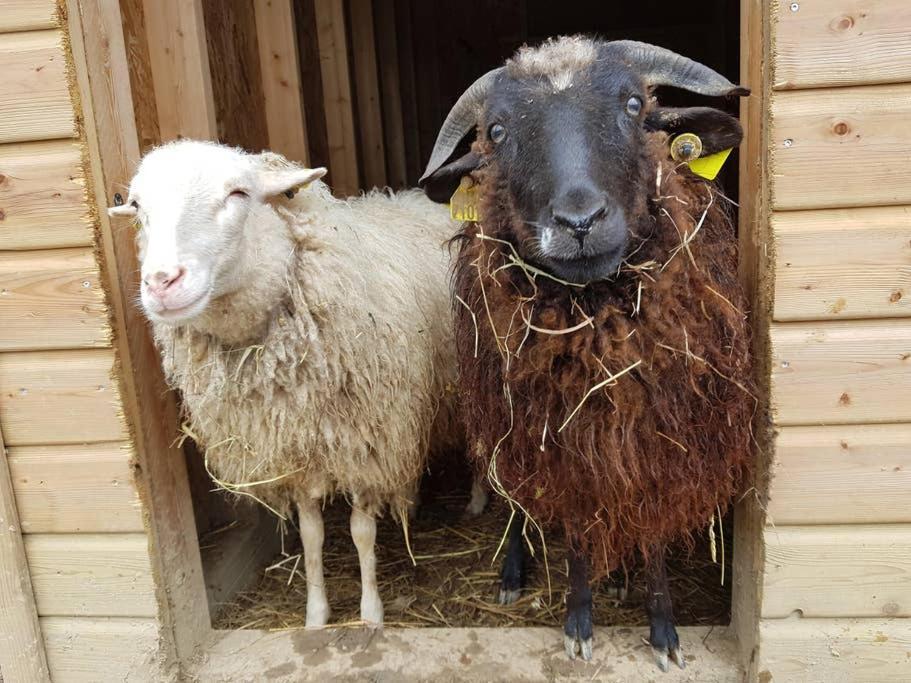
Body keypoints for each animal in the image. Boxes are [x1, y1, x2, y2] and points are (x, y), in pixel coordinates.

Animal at [108, 142, 464, 628]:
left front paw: (370, 613)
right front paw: (316, 615)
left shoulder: (363, 445)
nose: (162, 282)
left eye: (239, 193)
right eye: (138, 207)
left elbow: (361, 532)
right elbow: (312, 535)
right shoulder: (295, 450)